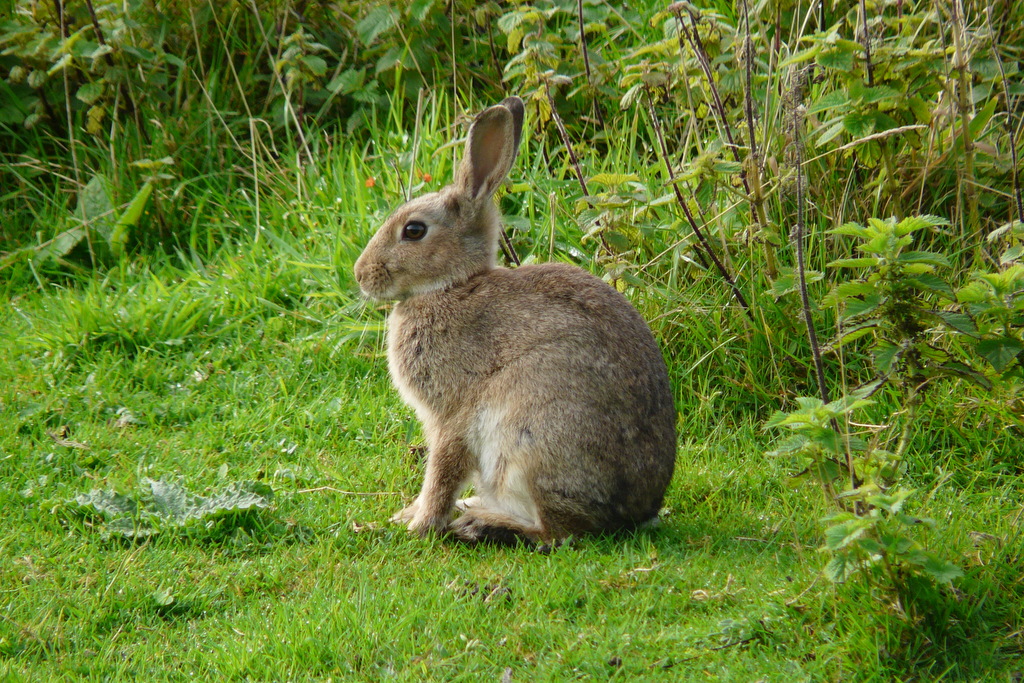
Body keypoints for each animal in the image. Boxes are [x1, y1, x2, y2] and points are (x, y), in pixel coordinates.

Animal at [354, 96, 679, 544]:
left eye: (414, 231)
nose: (361, 275)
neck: (451, 286)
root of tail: (636, 513)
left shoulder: (452, 417)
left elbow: (441, 472)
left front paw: (418, 526)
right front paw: (408, 516)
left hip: (528, 442)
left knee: (556, 530)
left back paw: (479, 524)